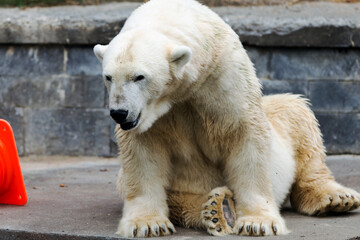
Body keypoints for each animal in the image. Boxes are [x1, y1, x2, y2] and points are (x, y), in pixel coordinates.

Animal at [93, 0, 360, 236]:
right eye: (108, 77)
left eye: (140, 76)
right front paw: (148, 224)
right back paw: (217, 209)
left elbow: (245, 134)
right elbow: (142, 153)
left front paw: (257, 223)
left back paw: (336, 198)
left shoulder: (223, 75)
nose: (119, 112)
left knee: (297, 115)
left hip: (282, 124)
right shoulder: (153, 118)